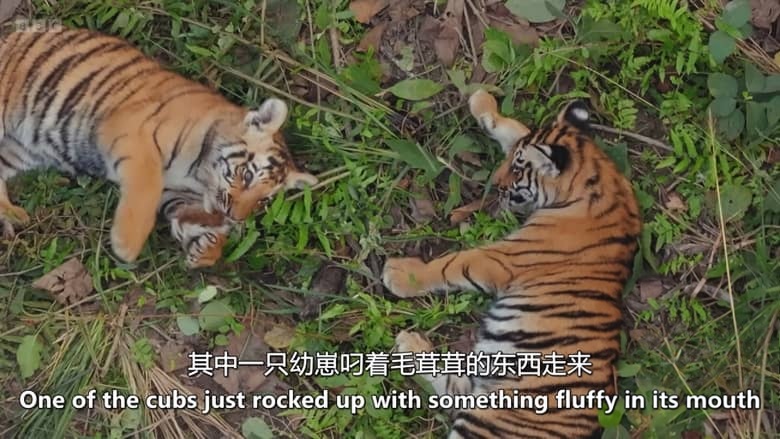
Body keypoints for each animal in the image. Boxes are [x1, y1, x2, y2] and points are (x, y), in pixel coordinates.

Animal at [0, 26, 317, 267]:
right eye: (249, 175)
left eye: (264, 200)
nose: (235, 217)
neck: (198, 174)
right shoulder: (134, 132)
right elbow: (145, 188)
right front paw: (126, 244)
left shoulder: (176, 192)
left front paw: (207, 248)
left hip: (21, 149)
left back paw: (10, 213)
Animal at [382, 89, 641, 438]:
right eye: (512, 164)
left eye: (517, 172)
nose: (496, 181)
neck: (598, 175)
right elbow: (517, 129)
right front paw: (483, 102)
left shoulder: (504, 259)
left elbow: (451, 264)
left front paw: (399, 274)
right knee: (455, 388)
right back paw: (412, 343)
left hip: (491, 419)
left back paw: (409, 340)